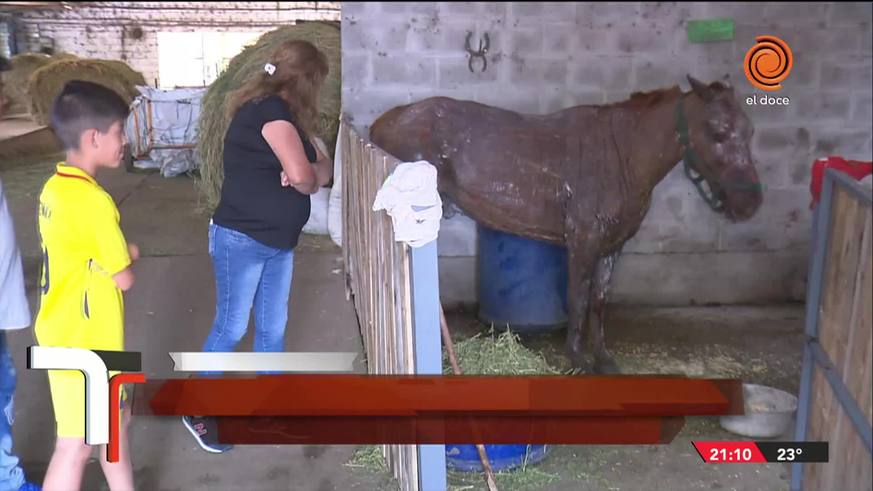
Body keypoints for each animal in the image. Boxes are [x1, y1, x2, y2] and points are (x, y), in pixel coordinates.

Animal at [368, 76, 764, 372]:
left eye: (750, 131)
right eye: (718, 130)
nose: (749, 204)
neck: (621, 156)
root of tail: (385, 122)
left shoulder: (613, 246)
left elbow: (599, 302)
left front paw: (603, 358)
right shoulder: (583, 241)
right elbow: (578, 298)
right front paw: (577, 358)